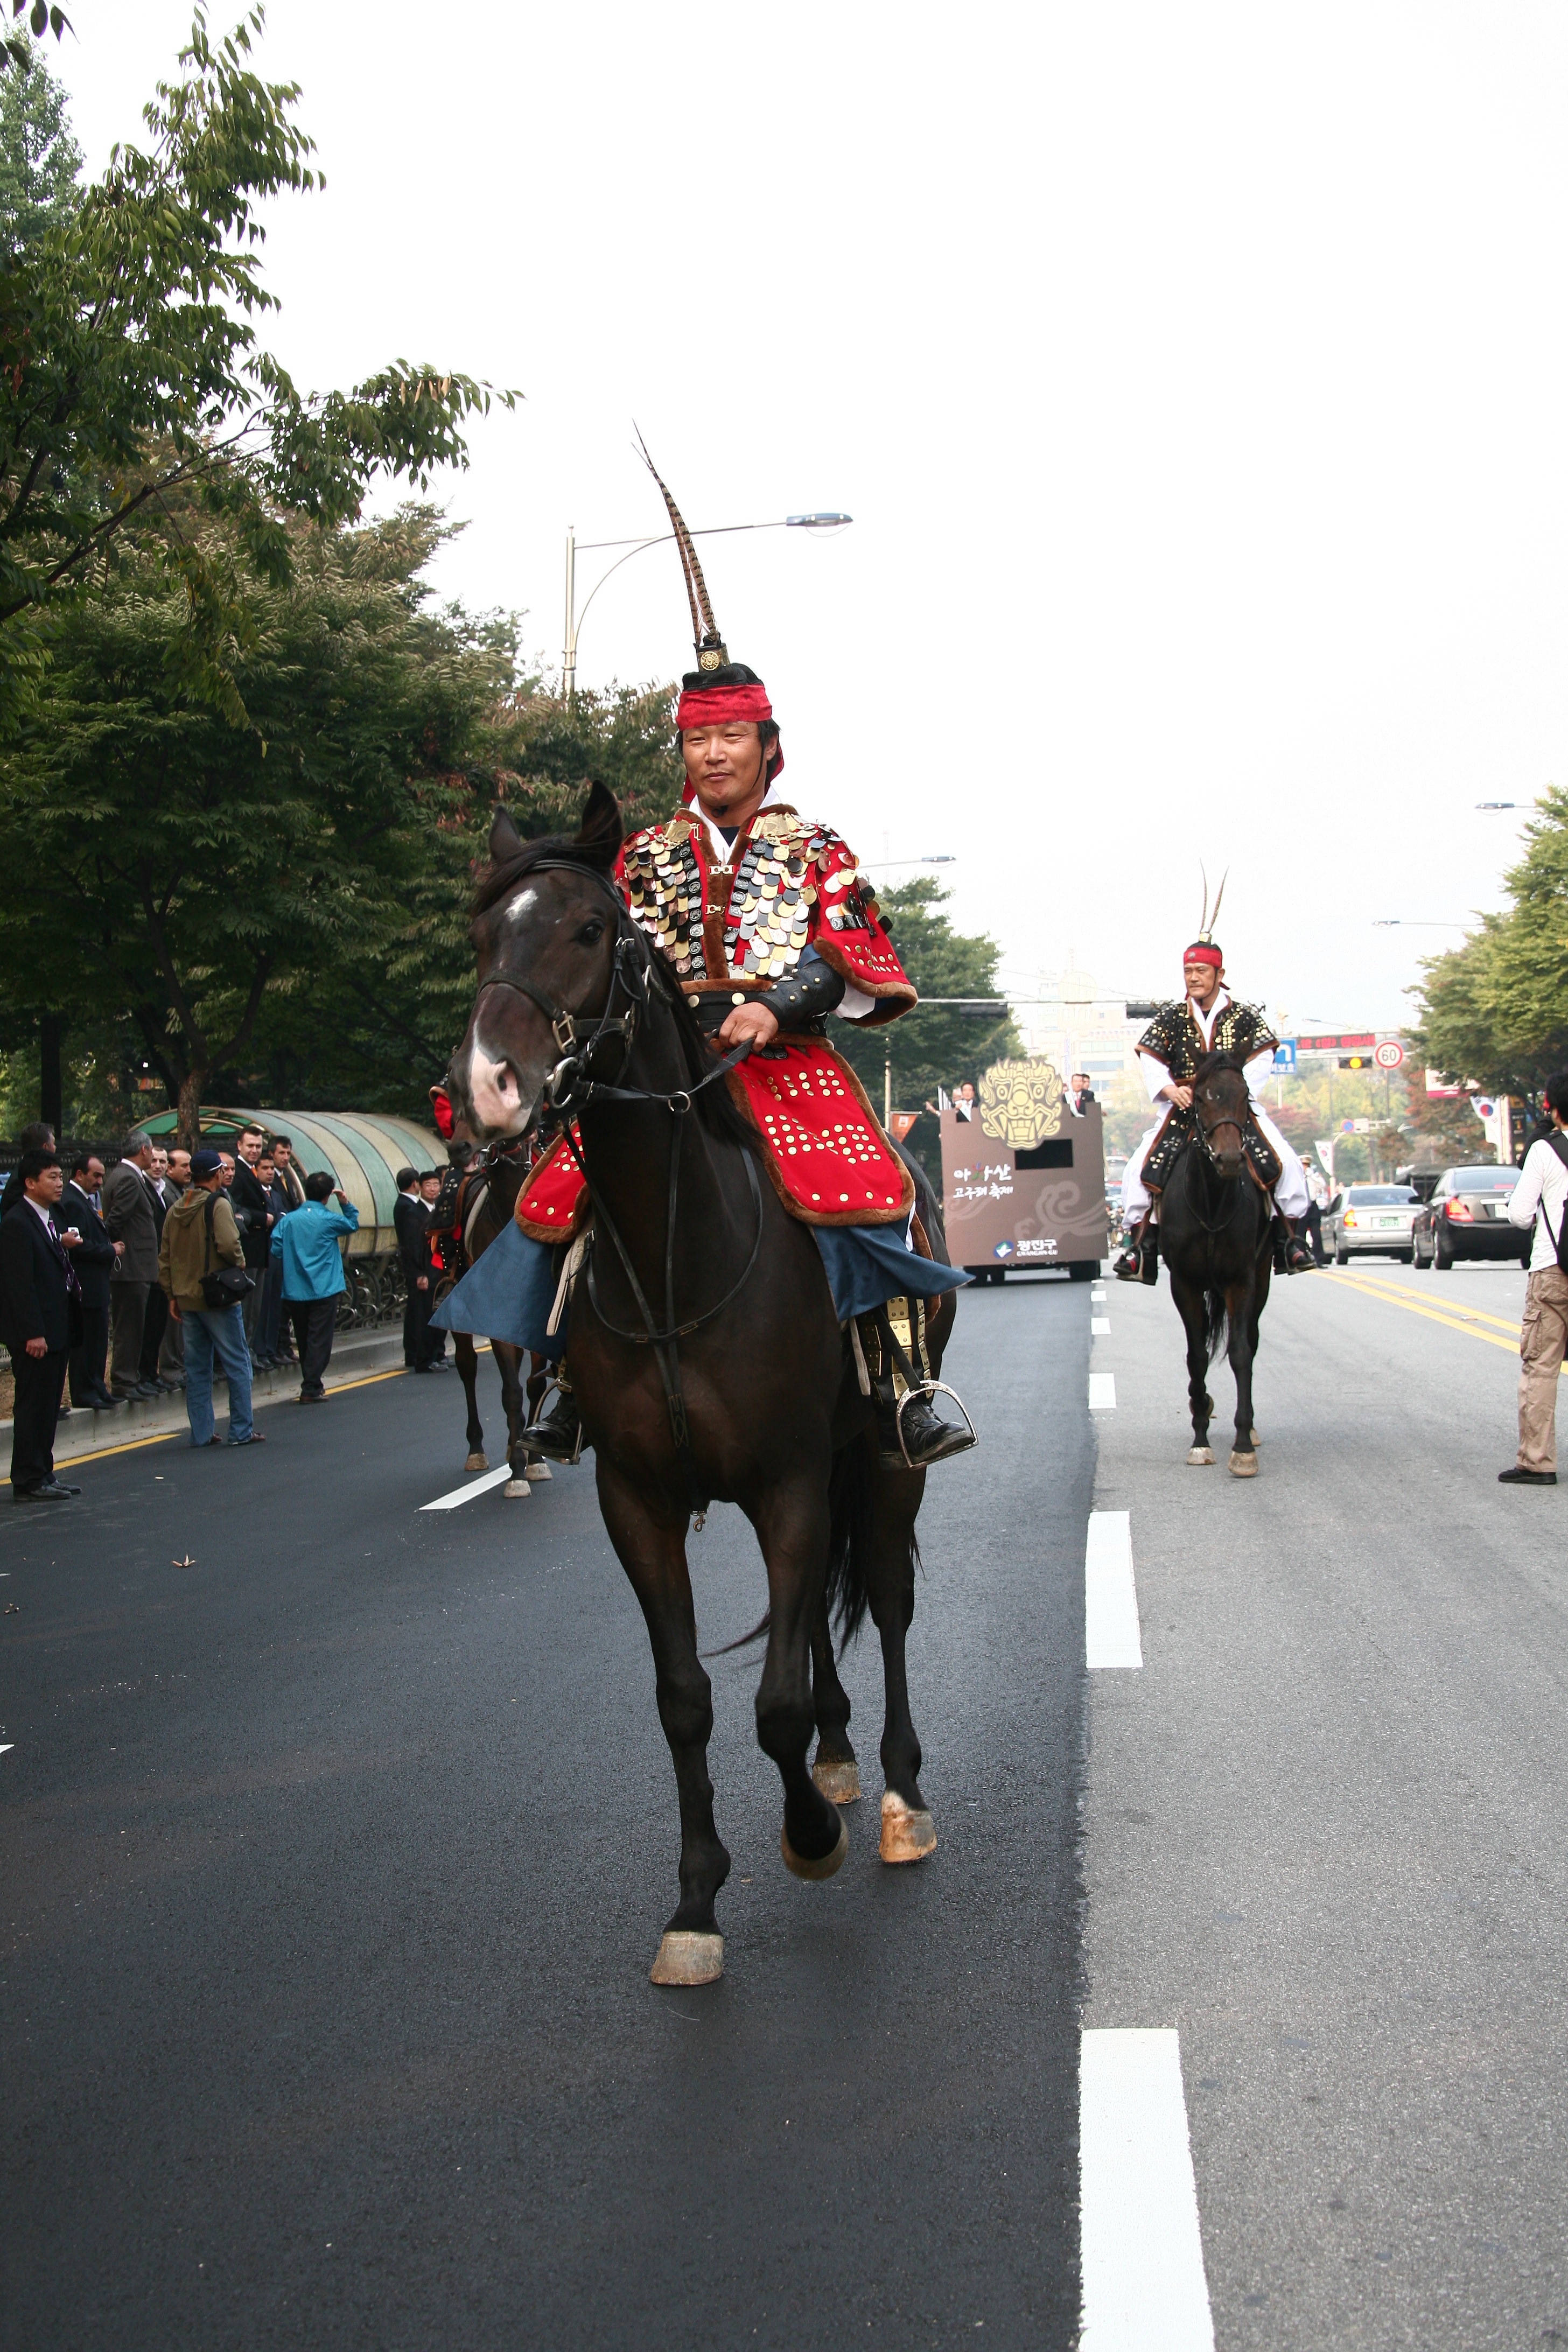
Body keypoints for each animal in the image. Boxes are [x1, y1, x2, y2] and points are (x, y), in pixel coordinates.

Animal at [442, 790, 959, 1985]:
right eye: (484, 935)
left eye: (590, 929)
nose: (488, 1085)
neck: (680, 1250)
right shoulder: (637, 1496)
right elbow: (687, 1697)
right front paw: (694, 1903)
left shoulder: (787, 1480)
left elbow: (769, 1703)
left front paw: (808, 1839)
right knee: (812, 1624)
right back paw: (838, 1759)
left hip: (879, 1457)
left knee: (888, 1604)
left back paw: (898, 1797)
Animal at [1166, 1058, 1279, 1477]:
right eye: (1200, 1098)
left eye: (1244, 1095)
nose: (1229, 1160)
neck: (1212, 1203)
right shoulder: (1183, 1282)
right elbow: (1196, 1356)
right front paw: (1200, 1439)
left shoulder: (1241, 1279)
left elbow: (1241, 1352)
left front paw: (1243, 1446)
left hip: (1262, 1276)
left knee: (1252, 1340)